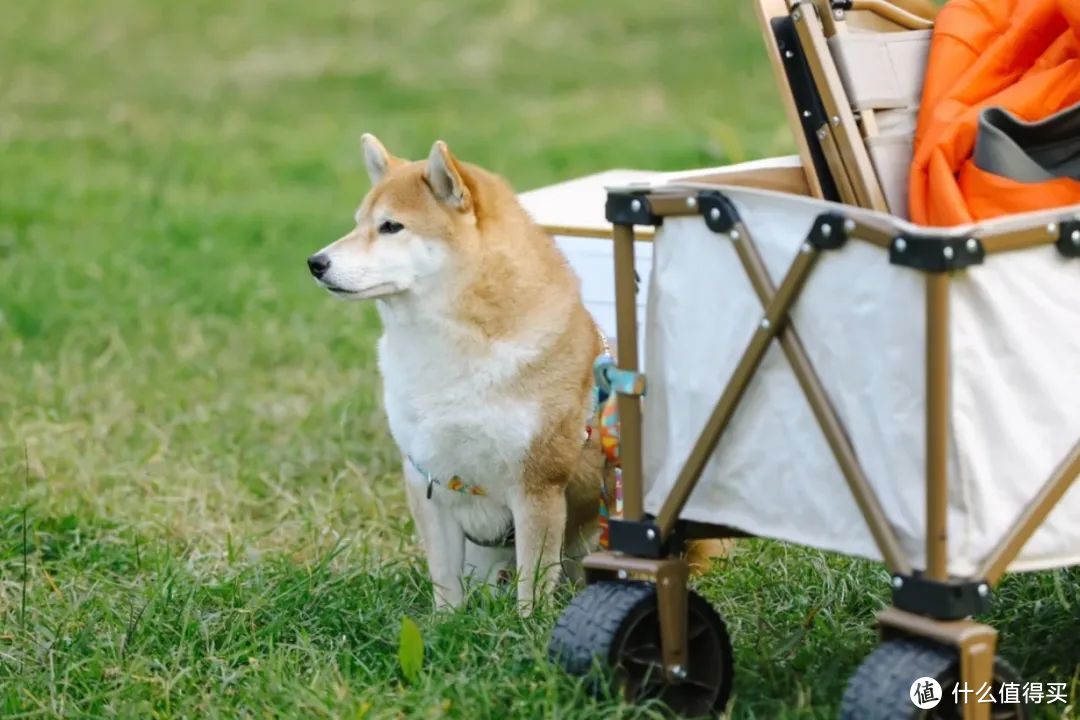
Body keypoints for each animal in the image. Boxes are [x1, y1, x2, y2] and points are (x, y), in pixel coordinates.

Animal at [308, 136, 609, 613]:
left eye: (391, 226)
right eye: (358, 224)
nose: (315, 262)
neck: (451, 351)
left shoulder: (538, 484)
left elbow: (532, 582)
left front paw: (527, 625)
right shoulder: (427, 477)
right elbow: (445, 582)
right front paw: (445, 622)